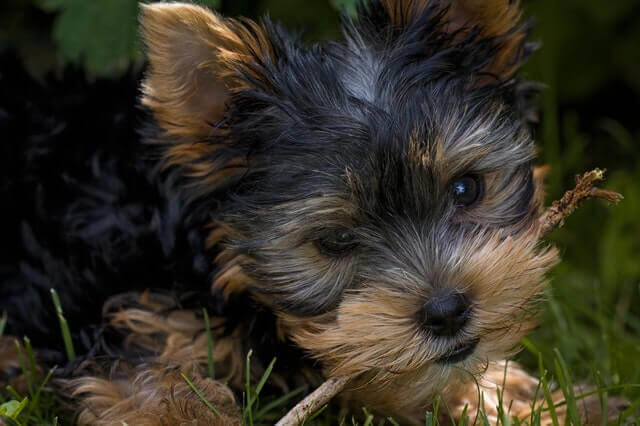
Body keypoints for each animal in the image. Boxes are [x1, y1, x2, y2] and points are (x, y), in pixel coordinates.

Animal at [0, 0, 628, 426]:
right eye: (335, 240)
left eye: (466, 189)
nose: (448, 311)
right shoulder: (126, 320)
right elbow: (151, 386)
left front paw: (544, 404)